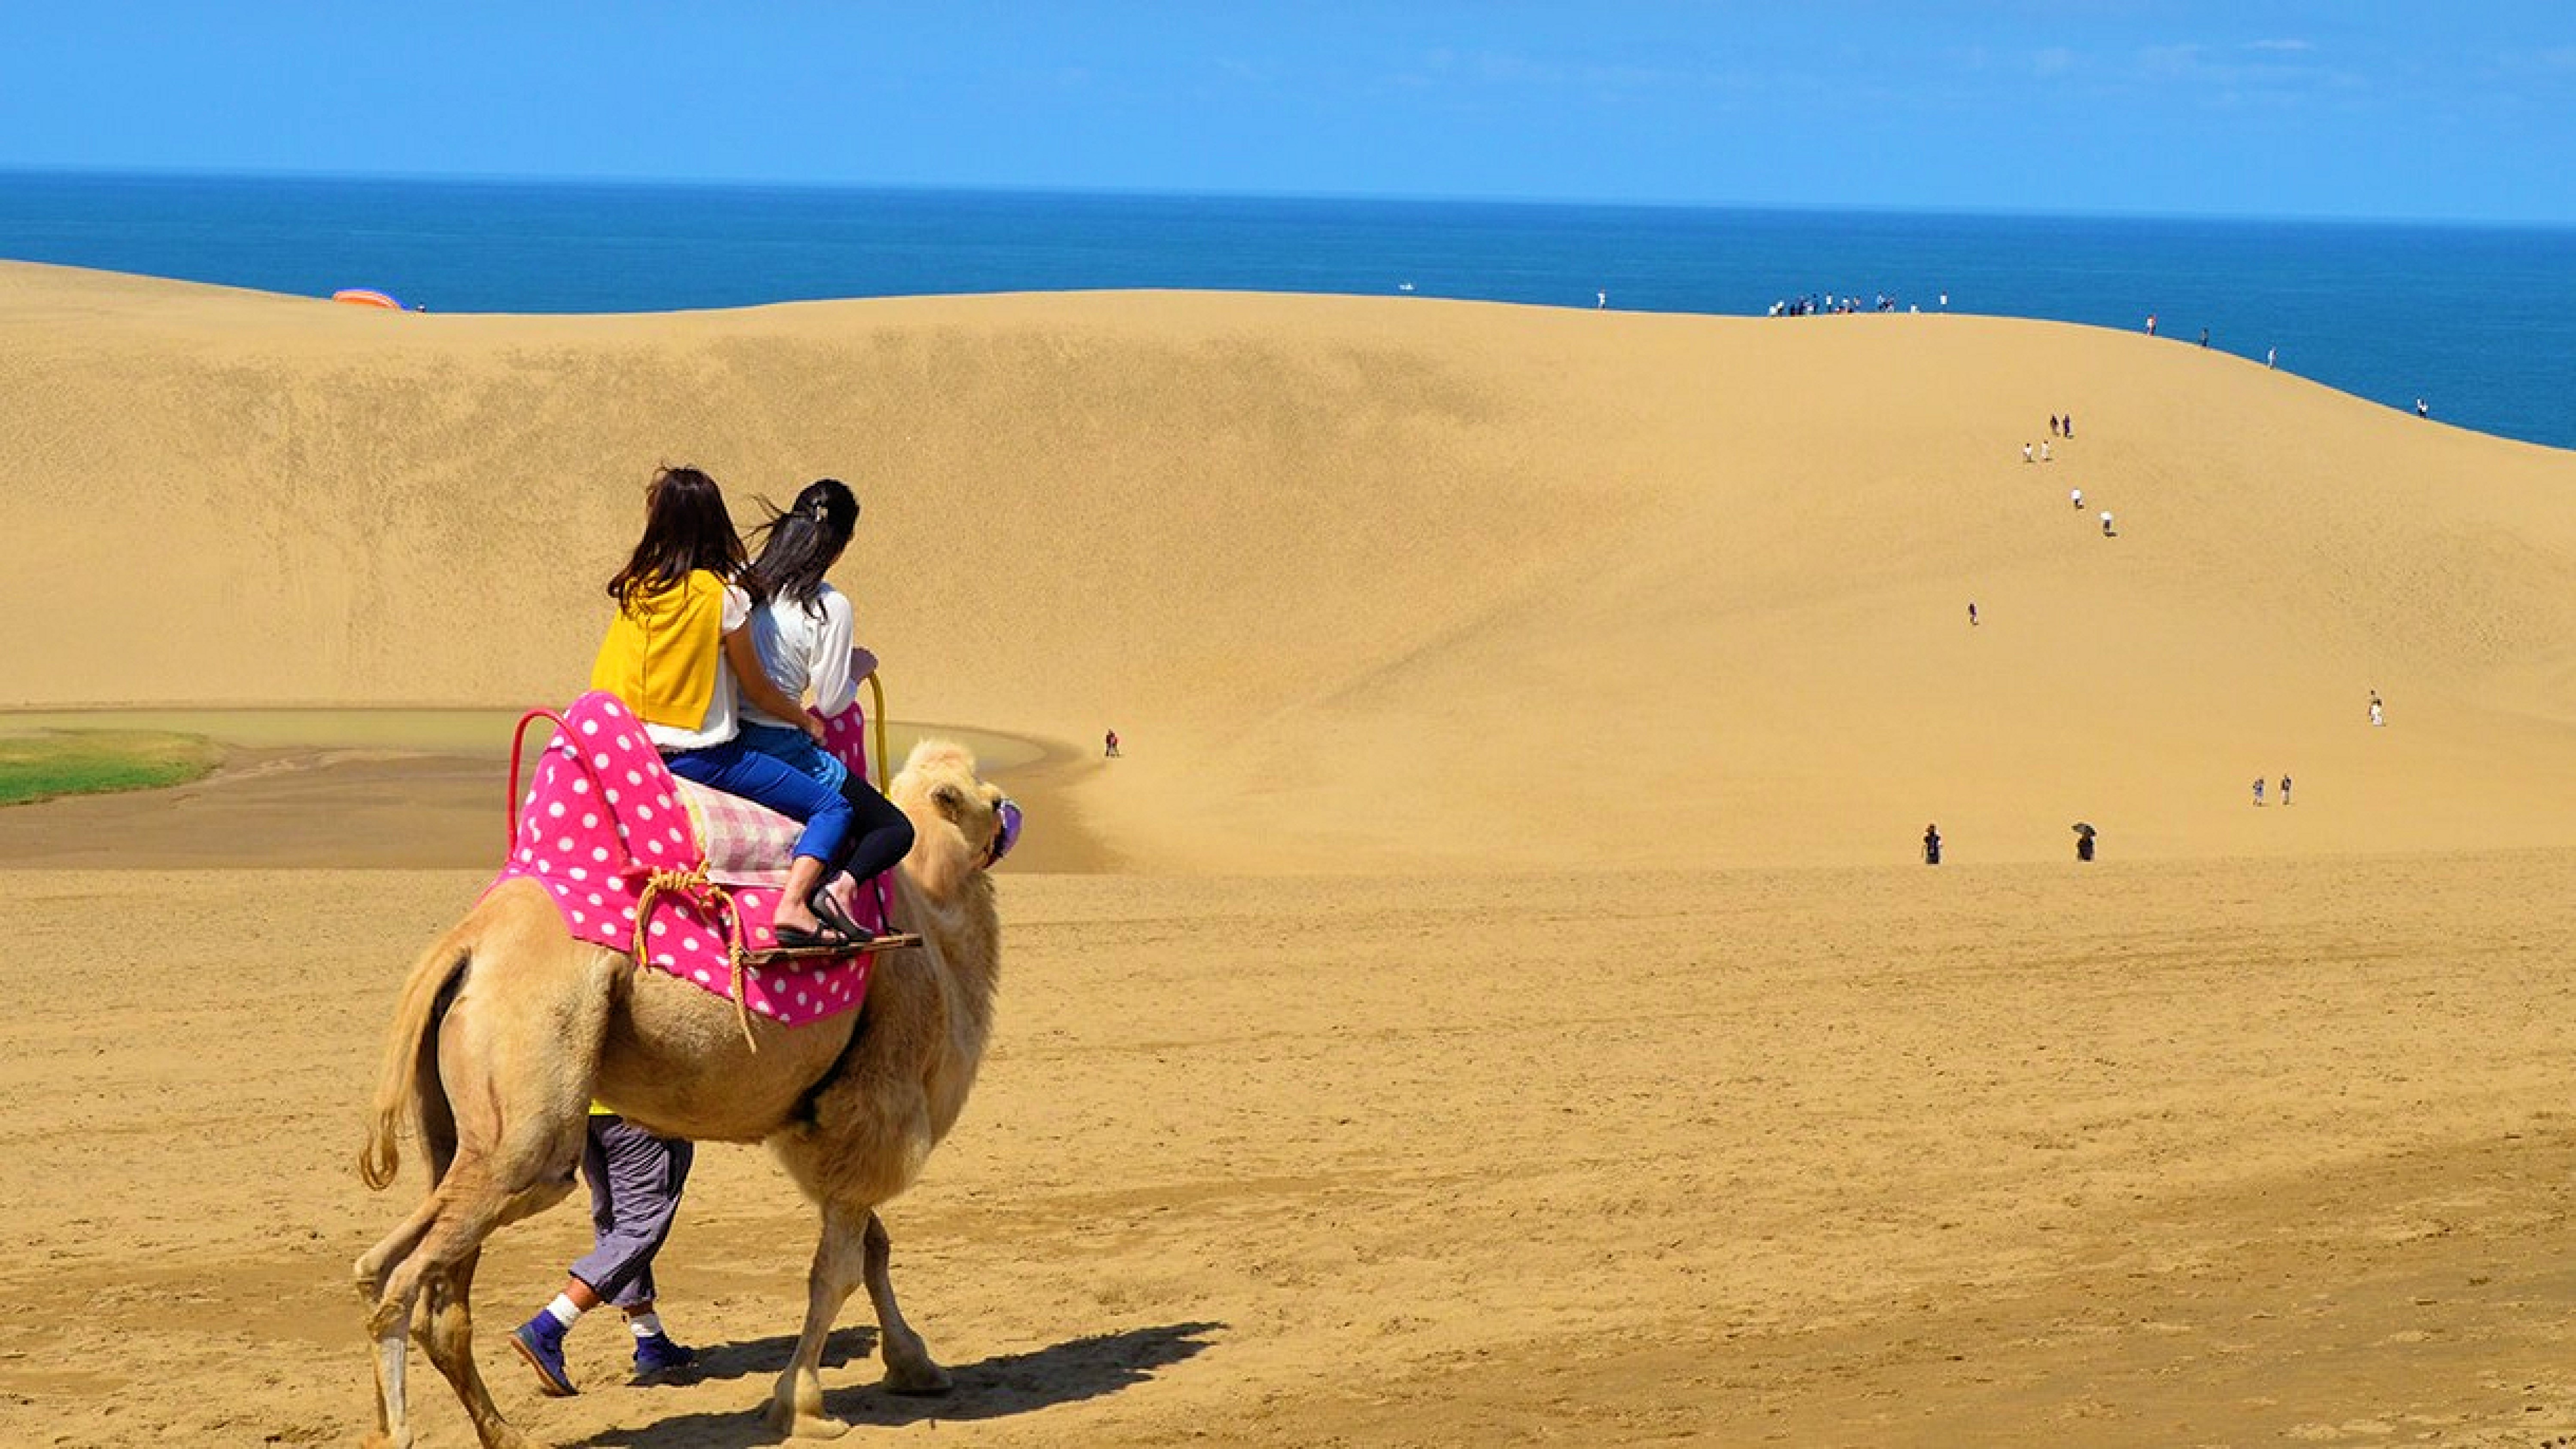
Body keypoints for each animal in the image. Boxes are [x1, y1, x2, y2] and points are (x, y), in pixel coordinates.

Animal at [355, 737, 1015, 1443]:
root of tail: (468, 941)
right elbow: (835, 1271)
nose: (1010, 815)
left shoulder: (830, 1129)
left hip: (462, 1129)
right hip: (530, 1119)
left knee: (407, 1280)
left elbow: (873, 1251)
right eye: (985, 797)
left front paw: (915, 1365)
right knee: (411, 1274)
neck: (930, 915)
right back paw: (404, 1429)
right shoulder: (874, 1106)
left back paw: (500, 1430)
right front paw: (804, 1403)